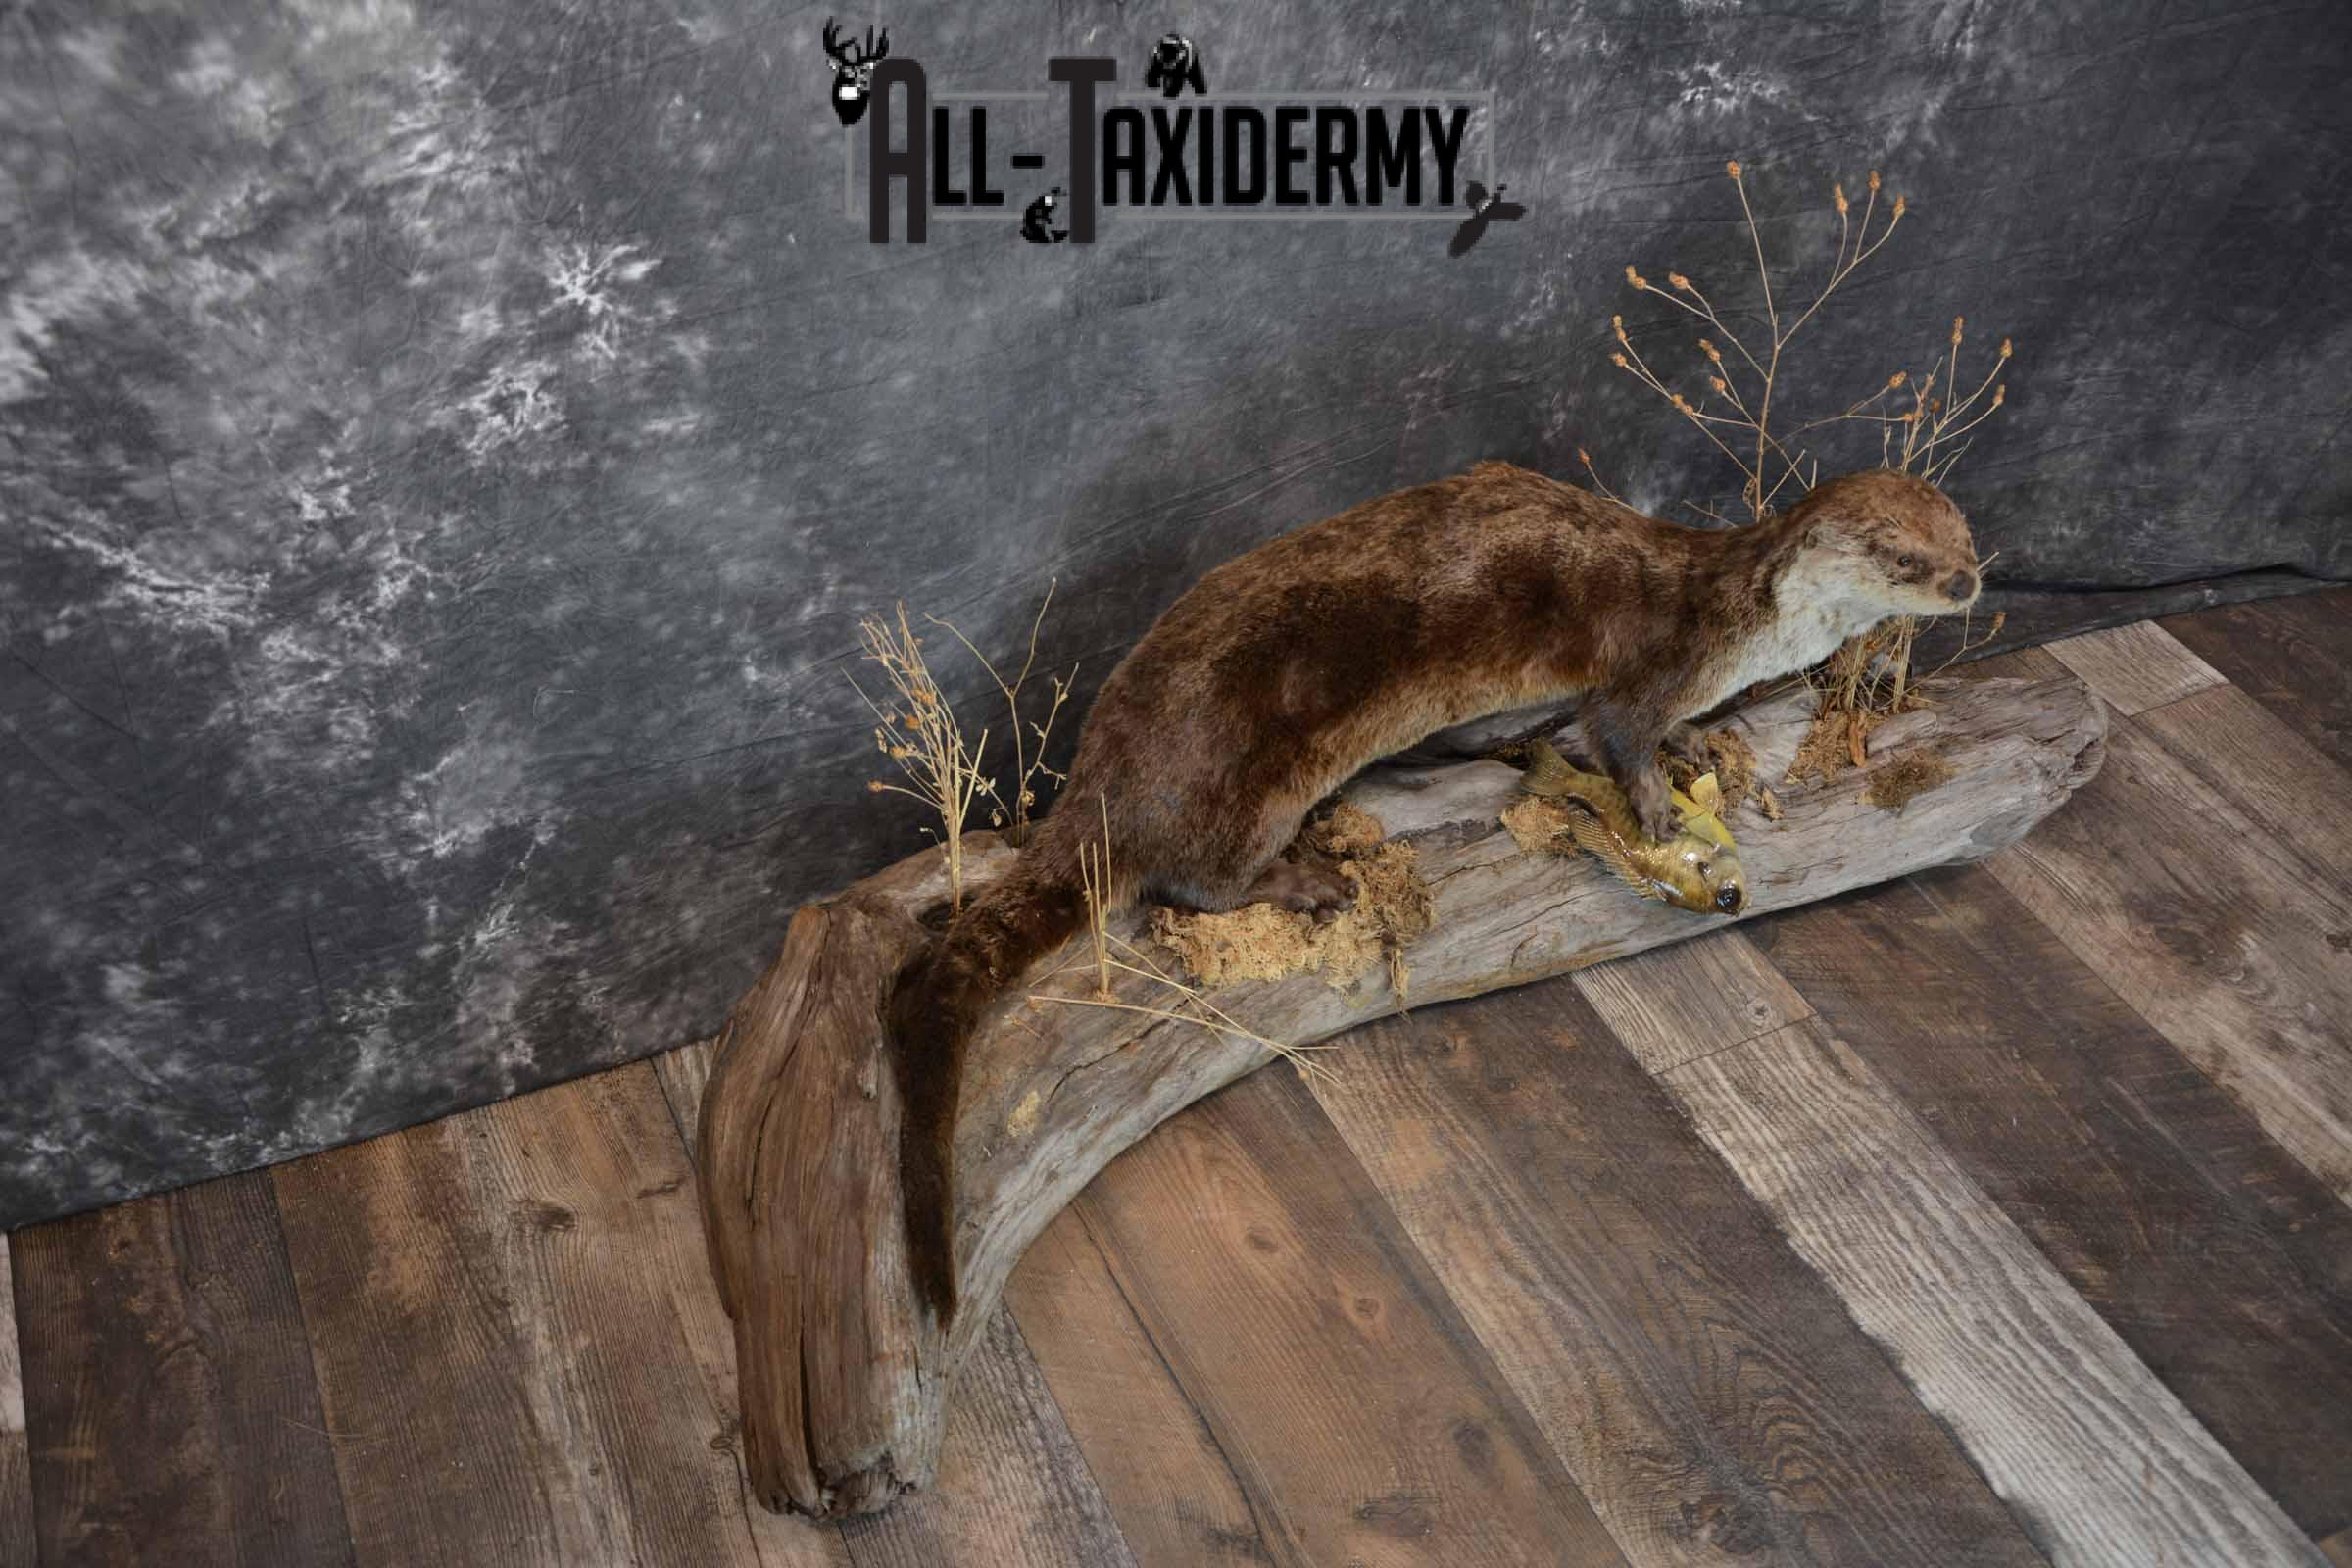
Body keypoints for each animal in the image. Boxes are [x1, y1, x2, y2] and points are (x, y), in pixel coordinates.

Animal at [891, 462, 1982, 1321]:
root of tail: (1105, 777)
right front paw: (1656, 805)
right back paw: (1306, 880)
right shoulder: (1658, 662)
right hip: (1248, 776)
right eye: (1899, 555)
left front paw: (1705, 751)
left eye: (1962, 533)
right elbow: (1618, 730)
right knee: (1189, 878)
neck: (1740, 619)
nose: (1968, 579)